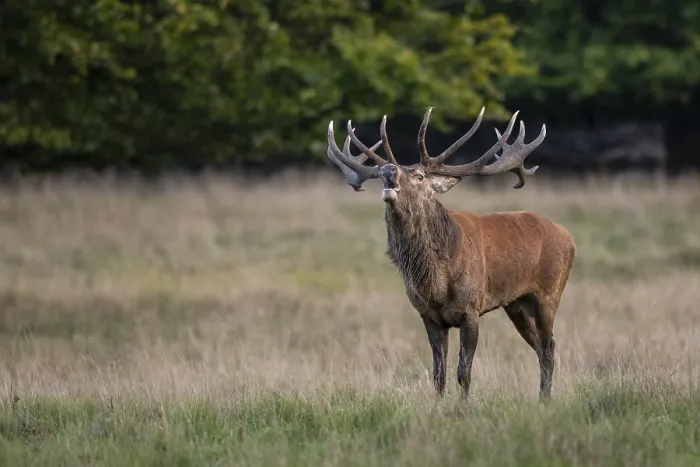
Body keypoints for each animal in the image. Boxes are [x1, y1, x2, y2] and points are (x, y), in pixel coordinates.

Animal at [326, 107, 576, 402]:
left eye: (420, 176)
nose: (388, 170)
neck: (436, 283)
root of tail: (569, 237)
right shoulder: (428, 315)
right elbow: (438, 375)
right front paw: (439, 405)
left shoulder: (471, 309)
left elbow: (463, 373)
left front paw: (463, 407)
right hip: (516, 304)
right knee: (539, 346)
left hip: (549, 293)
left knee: (549, 348)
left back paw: (545, 400)